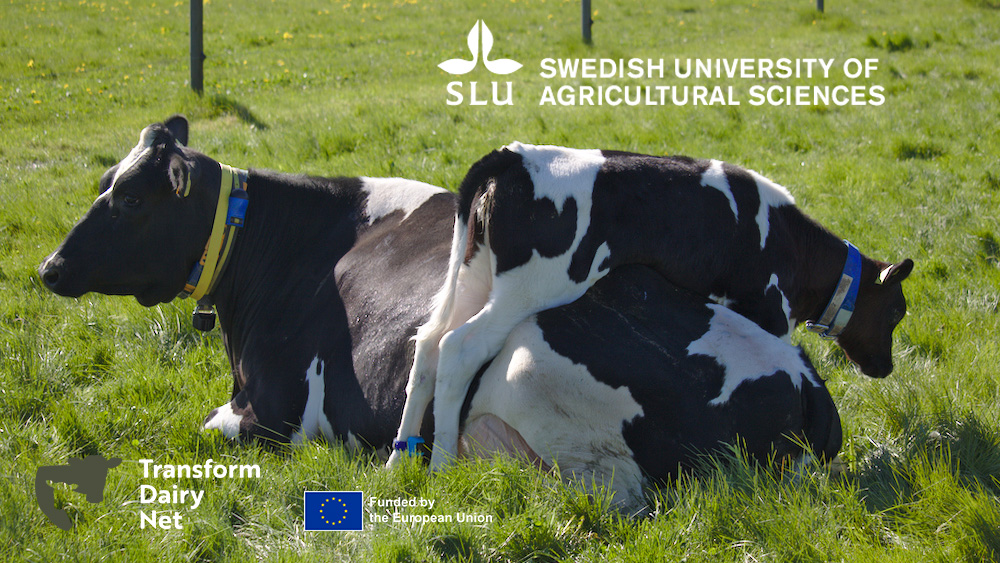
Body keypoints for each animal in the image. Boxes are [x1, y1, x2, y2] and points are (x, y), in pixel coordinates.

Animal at [389, 142, 912, 469]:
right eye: (895, 313)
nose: (885, 368)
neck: (789, 241)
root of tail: (512, 157)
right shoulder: (764, 311)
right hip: (526, 290)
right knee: (458, 349)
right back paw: (442, 464)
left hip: (476, 276)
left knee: (429, 344)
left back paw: (401, 459)